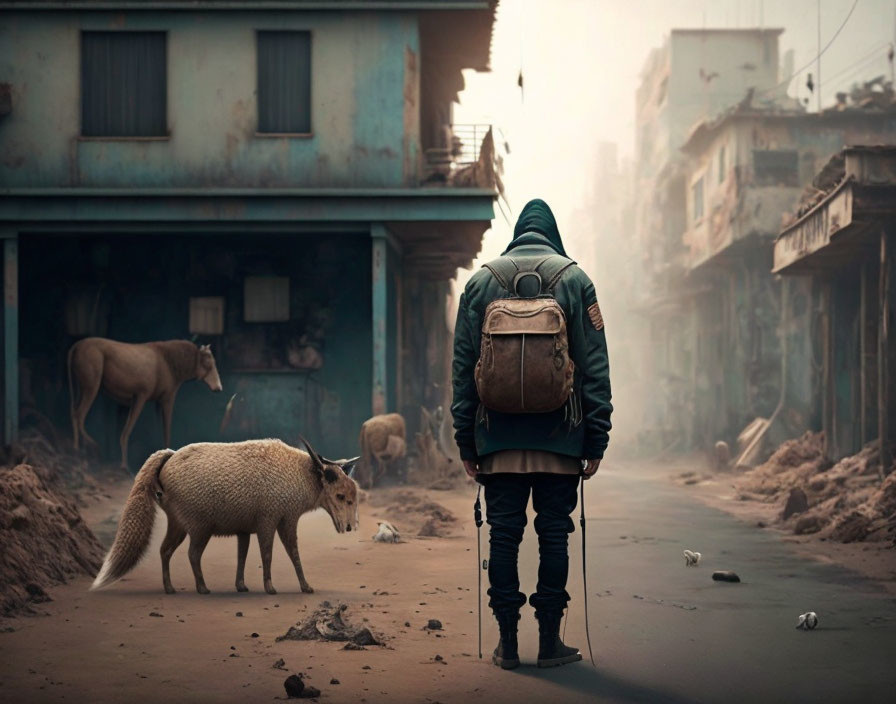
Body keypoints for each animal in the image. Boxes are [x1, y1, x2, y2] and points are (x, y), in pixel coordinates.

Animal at [68, 340, 222, 468]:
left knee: (74, 411)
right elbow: (135, 431)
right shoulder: (153, 397)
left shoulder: (155, 401)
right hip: (92, 385)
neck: (173, 365)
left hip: (80, 388)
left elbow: (158, 430)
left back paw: (79, 449)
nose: (219, 388)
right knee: (79, 415)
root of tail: (74, 348)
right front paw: (124, 465)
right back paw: (90, 448)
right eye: (209, 364)